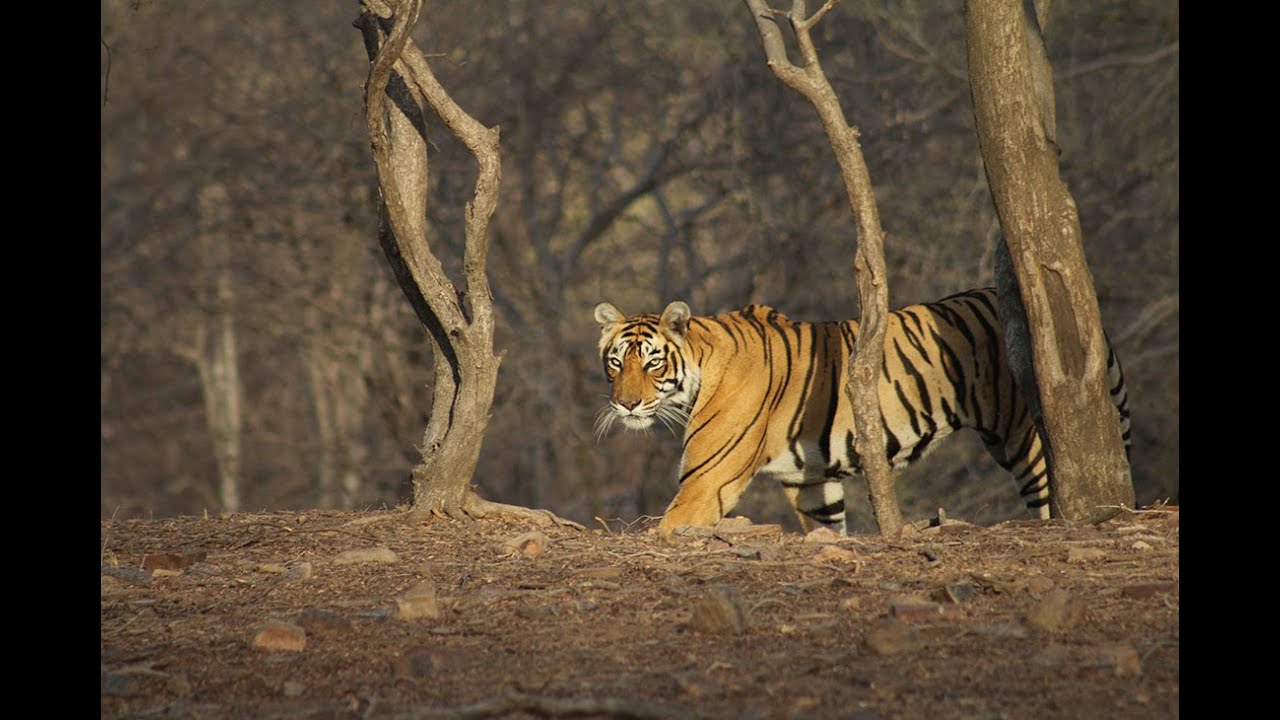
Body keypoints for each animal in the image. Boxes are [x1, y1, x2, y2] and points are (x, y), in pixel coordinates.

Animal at [593, 287, 1131, 536]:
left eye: (652, 362)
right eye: (616, 362)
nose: (626, 402)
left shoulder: (706, 483)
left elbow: (668, 526)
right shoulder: (811, 482)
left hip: (1027, 441)